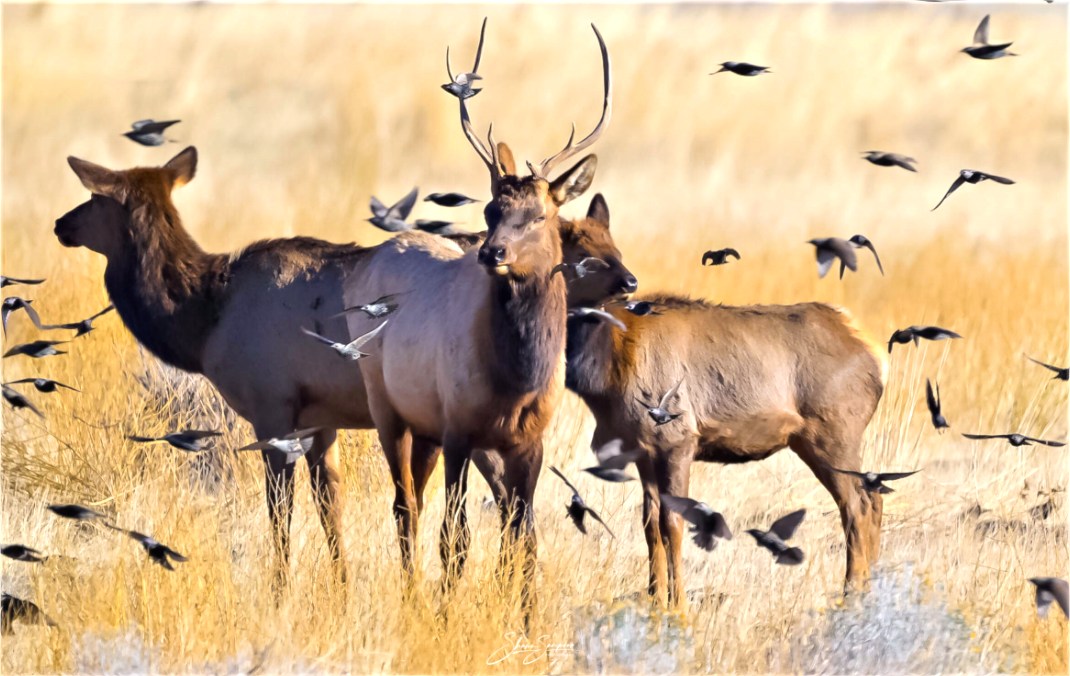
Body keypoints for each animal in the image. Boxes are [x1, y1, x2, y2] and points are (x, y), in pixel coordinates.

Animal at [343, 23, 613, 603]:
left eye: (540, 215)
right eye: (490, 209)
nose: (492, 253)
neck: (515, 377)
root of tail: (371, 258)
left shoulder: (528, 441)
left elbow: (525, 539)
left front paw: (527, 614)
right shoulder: (458, 428)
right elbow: (457, 539)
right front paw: (445, 611)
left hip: (428, 430)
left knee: (422, 504)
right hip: (388, 406)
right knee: (404, 505)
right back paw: (412, 595)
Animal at [563, 296, 888, 607]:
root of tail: (877, 356)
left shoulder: (677, 444)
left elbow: (673, 523)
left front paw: (678, 606)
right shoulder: (644, 454)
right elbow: (651, 525)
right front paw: (655, 601)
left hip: (832, 438)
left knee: (857, 506)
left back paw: (852, 593)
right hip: (813, 443)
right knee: (873, 500)